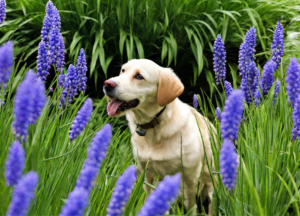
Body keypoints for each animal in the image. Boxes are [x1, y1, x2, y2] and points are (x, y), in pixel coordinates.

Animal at [104, 58, 217, 214]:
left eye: (139, 76)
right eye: (123, 71)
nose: (107, 84)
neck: (153, 126)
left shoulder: (190, 177)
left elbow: (191, 207)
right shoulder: (145, 174)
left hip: (211, 180)